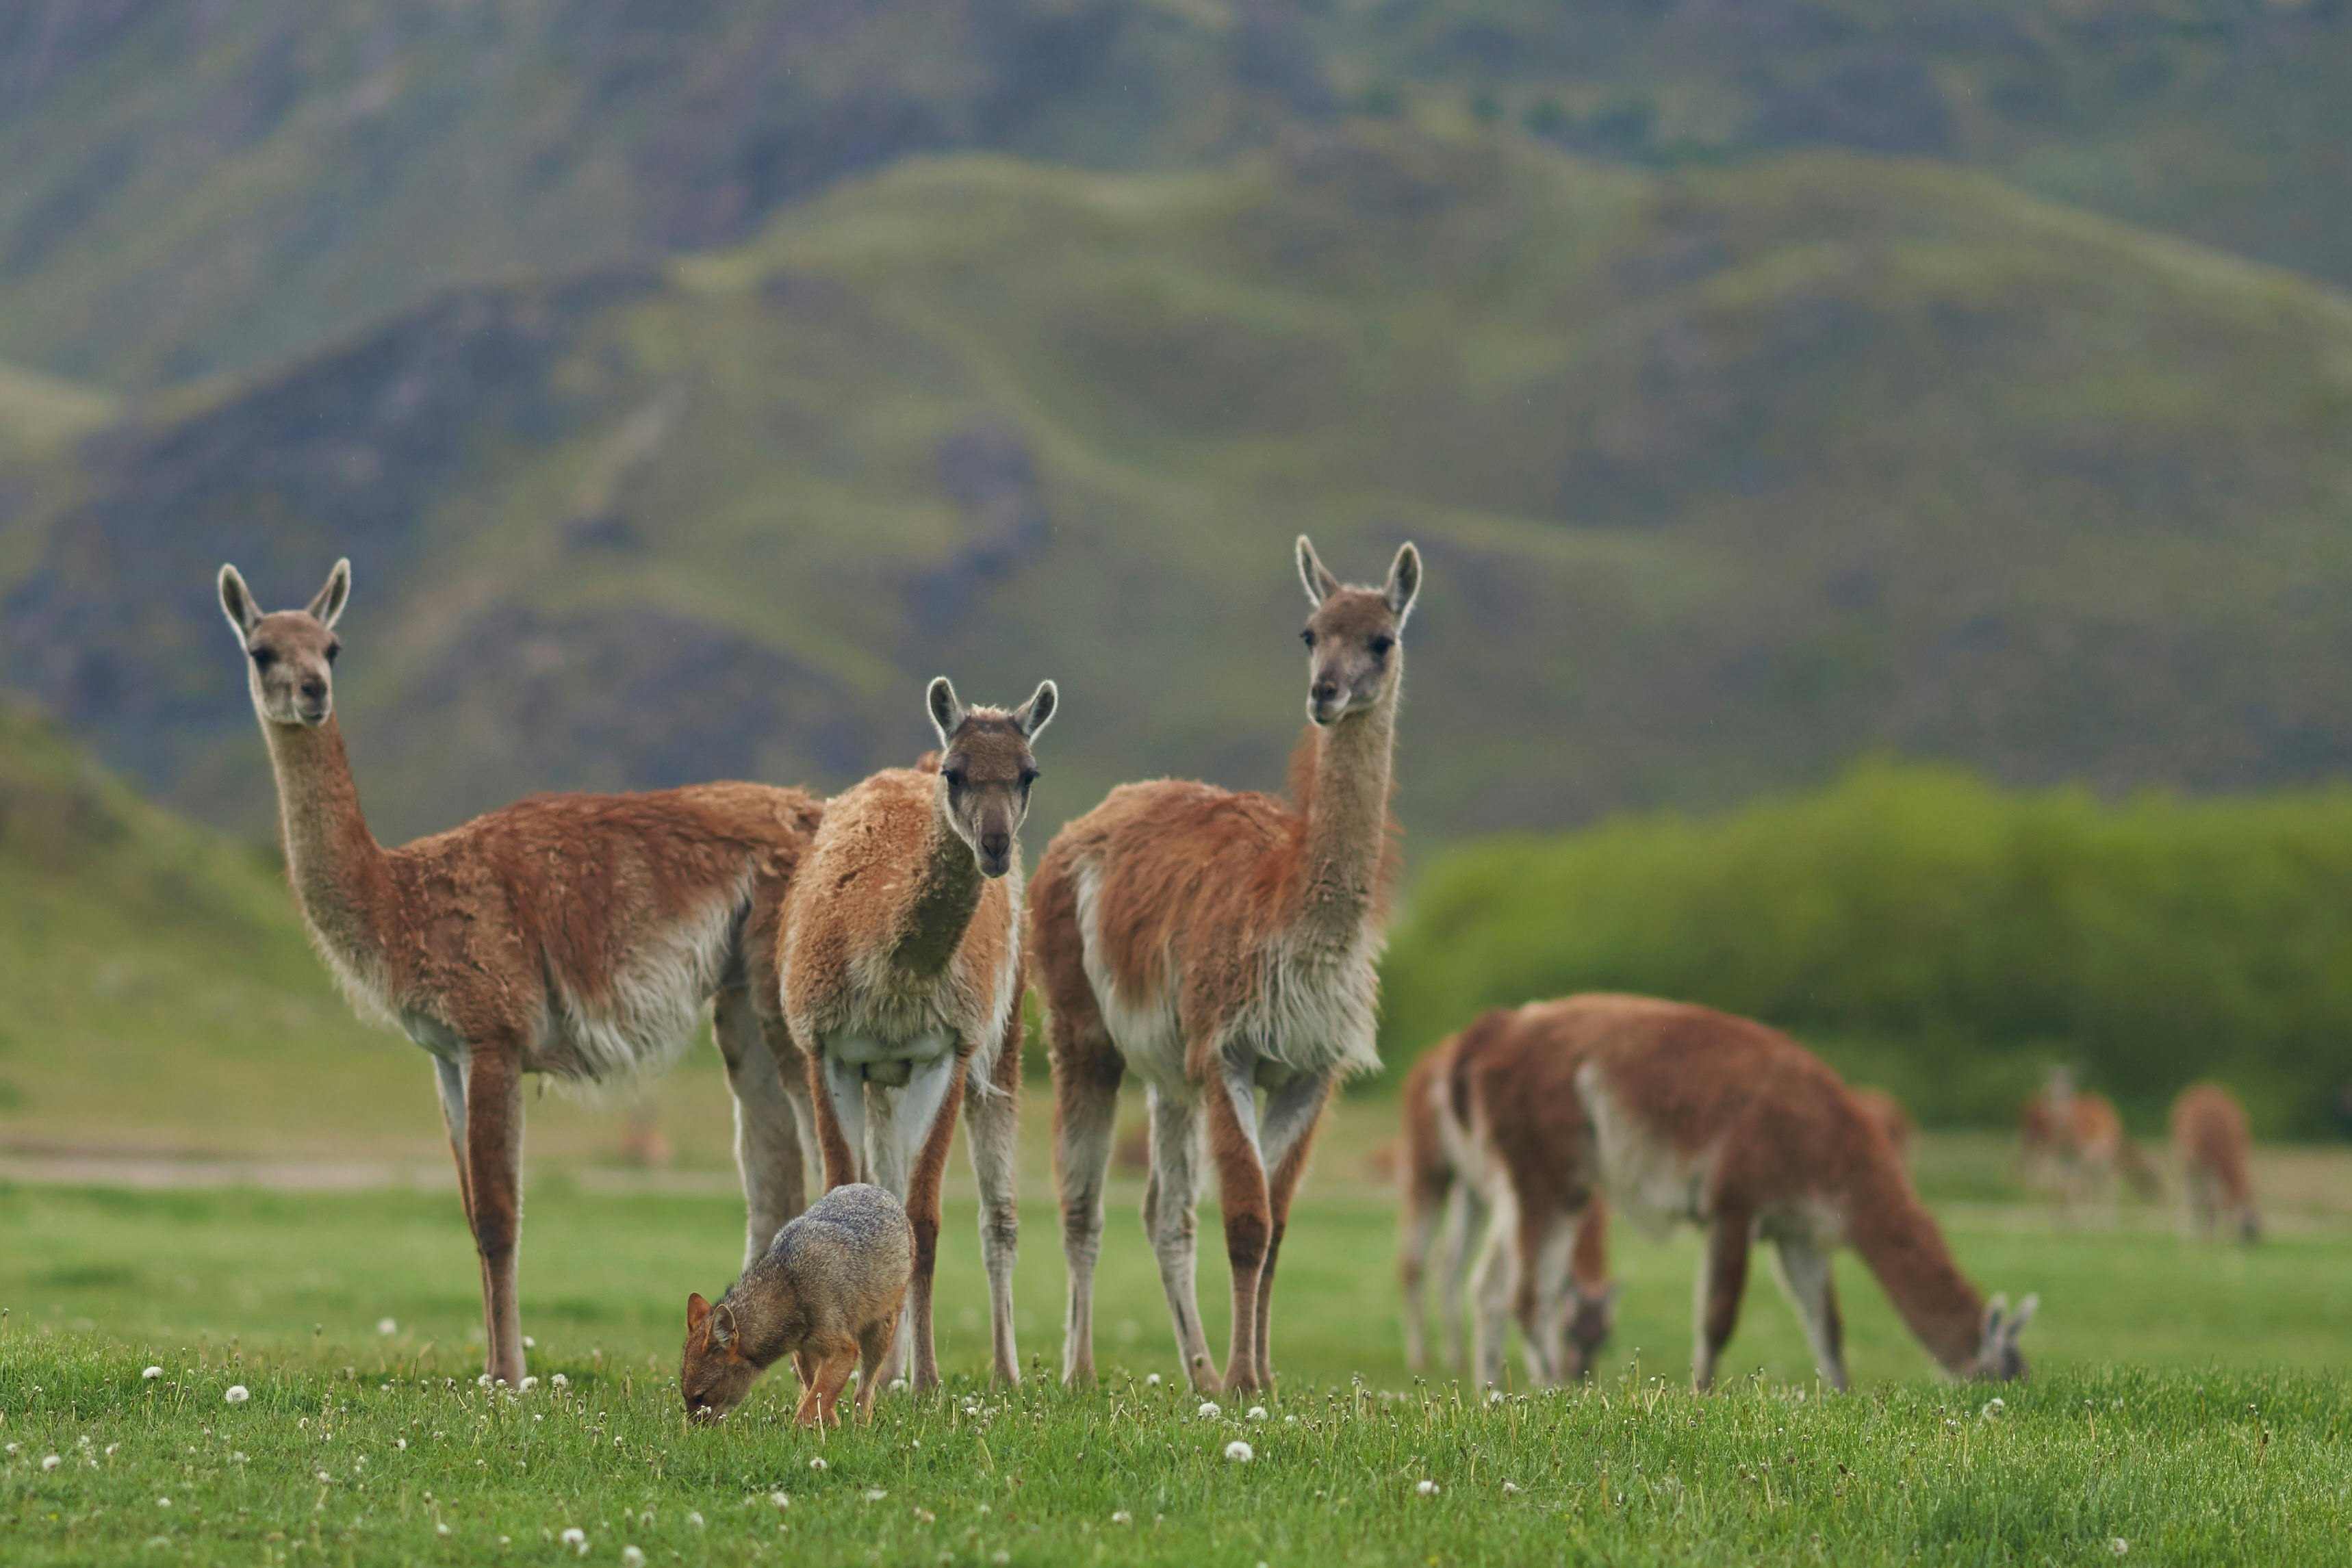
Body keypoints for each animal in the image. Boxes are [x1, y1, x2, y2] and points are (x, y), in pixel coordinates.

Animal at [680, 1183, 914, 1426]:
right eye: (684, 1396)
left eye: (700, 1397)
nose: (694, 1431)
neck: (791, 1286)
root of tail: (872, 1188)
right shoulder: (803, 1351)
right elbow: (816, 1396)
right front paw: (831, 1426)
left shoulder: (844, 1351)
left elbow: (811, 1406)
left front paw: (801, 1431)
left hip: (878, 1339)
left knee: (864, 1393)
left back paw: (861, 1426)